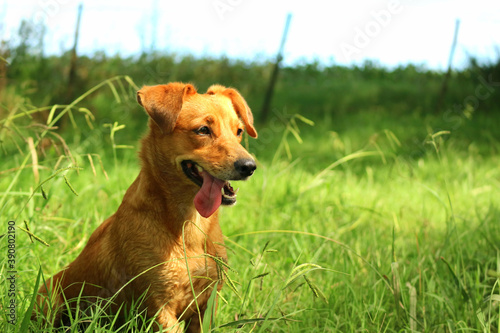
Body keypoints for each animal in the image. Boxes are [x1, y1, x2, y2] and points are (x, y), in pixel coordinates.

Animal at [34, 81, 258, 330]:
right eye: (202, 130)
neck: (190, 226)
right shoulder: (159, 307)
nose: (249, 166)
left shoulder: (207, 306)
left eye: (239, 131)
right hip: (49, 301)